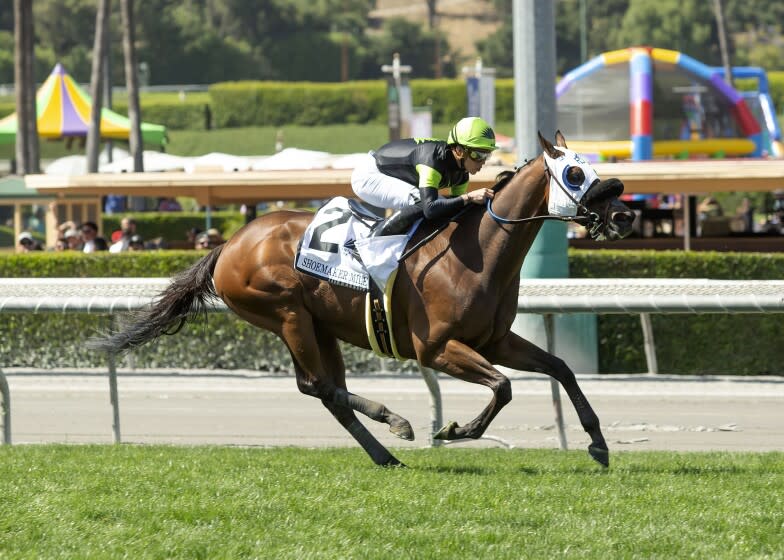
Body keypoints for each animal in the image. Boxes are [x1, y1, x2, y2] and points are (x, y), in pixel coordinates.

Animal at [92, 132, 632, 468]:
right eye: (575, 173)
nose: (624, 214)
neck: (478, 254)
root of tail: (229, 244)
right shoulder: (436, 349)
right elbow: (503, 387)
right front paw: (454, 431)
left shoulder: (495, 340)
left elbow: (560, 368)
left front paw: (598, 444)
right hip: (287, 314)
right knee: (322, 387)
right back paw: (398, 425)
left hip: (317, 324)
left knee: (322, 389)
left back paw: (386, 451)